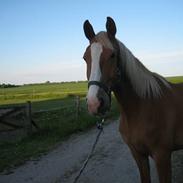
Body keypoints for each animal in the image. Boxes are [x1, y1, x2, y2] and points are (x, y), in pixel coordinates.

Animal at [82, 16, 183, 182]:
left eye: (112, 55)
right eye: (85, 57)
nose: (94, 103)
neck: (141, 108)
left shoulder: (162, 156)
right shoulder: (138, 155)